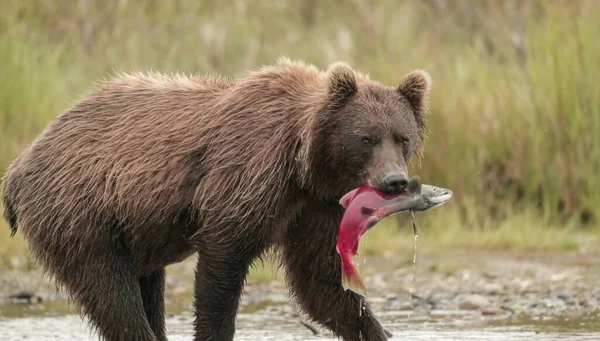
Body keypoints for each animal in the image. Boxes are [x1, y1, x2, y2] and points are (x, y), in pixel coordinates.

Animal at [0, 58, 432, 340]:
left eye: (402, 137)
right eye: (366, 138)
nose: (395, 181)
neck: (304, 163)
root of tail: (19, 167)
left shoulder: (315, 207)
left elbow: (320, 282)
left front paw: (374, 329)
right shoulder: (247, 175)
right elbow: (222, 266)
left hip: (131, 232)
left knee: (145, 288)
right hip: (80, 213)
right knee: (111, 291)